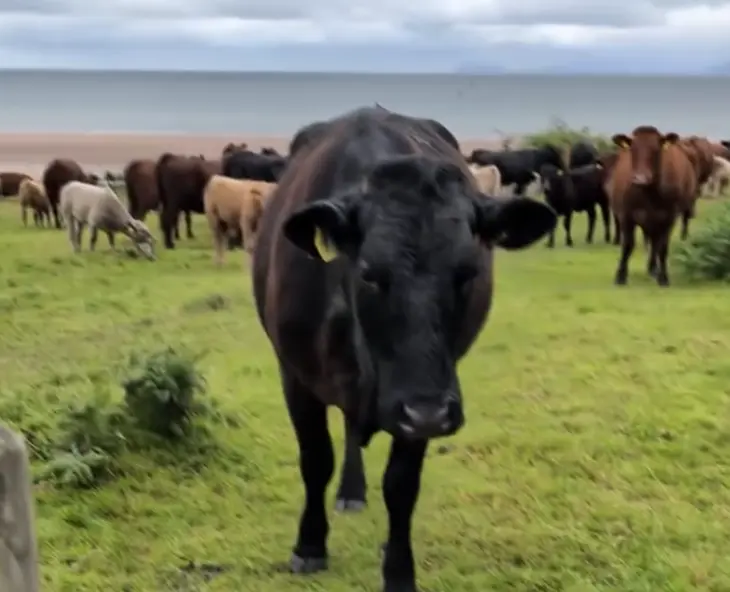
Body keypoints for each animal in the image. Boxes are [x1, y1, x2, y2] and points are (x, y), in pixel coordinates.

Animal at [251, 106, 556, 591]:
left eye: (468, 271)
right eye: (369, 273)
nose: (428, 412)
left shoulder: (423, 401)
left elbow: (401, 485)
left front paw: (398, 570)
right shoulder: (295, 375)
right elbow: (316, 459)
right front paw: (309, 544)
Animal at [608, 126, 696, 286]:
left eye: (656, 150)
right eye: (633, 149)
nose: (640, 179)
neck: (648, 194)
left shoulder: (668, 218)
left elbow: (663, 248)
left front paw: (663, 277)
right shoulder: (626, 216)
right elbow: (627, 245)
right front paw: (620, 276)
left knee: (655, 244)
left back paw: (654, 269)